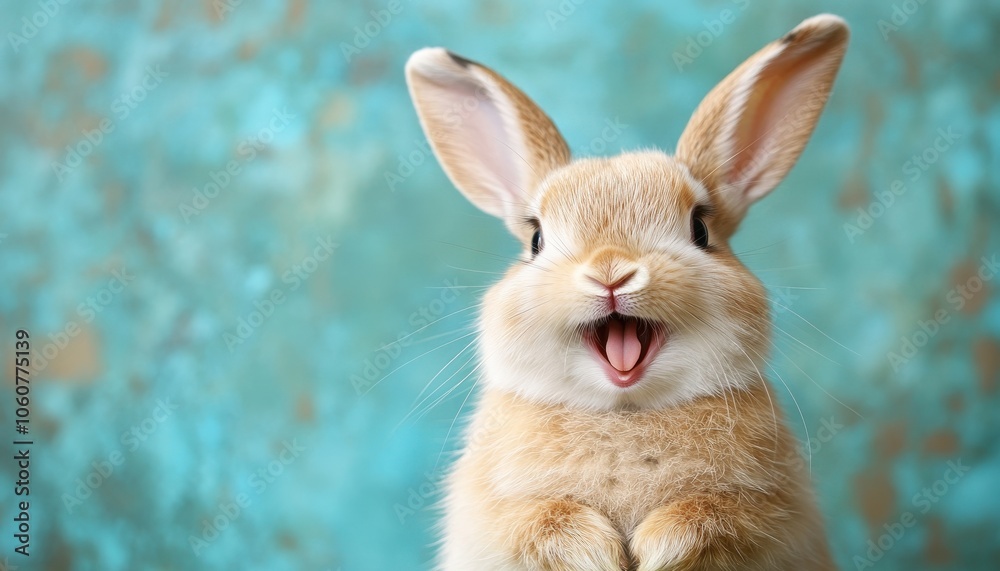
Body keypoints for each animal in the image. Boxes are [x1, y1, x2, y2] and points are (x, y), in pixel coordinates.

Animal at [405, 13, 848, 571]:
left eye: (700, 229)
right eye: (536, 240)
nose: (610, 272)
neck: (624, 412)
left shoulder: (767, 514)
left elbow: (712, 518)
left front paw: (654, 546)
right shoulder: (498, 519)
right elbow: (540, 521)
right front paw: (597, 551)